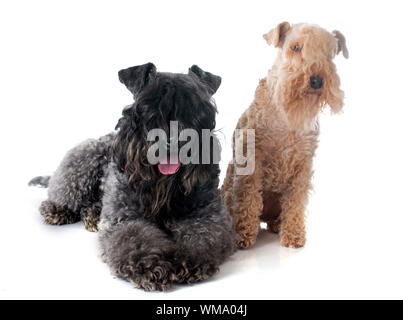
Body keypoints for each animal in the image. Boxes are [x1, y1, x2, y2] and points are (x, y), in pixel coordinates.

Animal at [30, 63, 238, 292]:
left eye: (195, 107)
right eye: (146, 105)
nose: (171, 141)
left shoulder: (207, 217)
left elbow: (202, 236)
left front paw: (186, 260)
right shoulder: (125, 219)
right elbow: (134, 238)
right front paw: (151, 266)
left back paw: (92, 214)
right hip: (84, 163)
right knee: (63, 193)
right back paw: (58, 210)